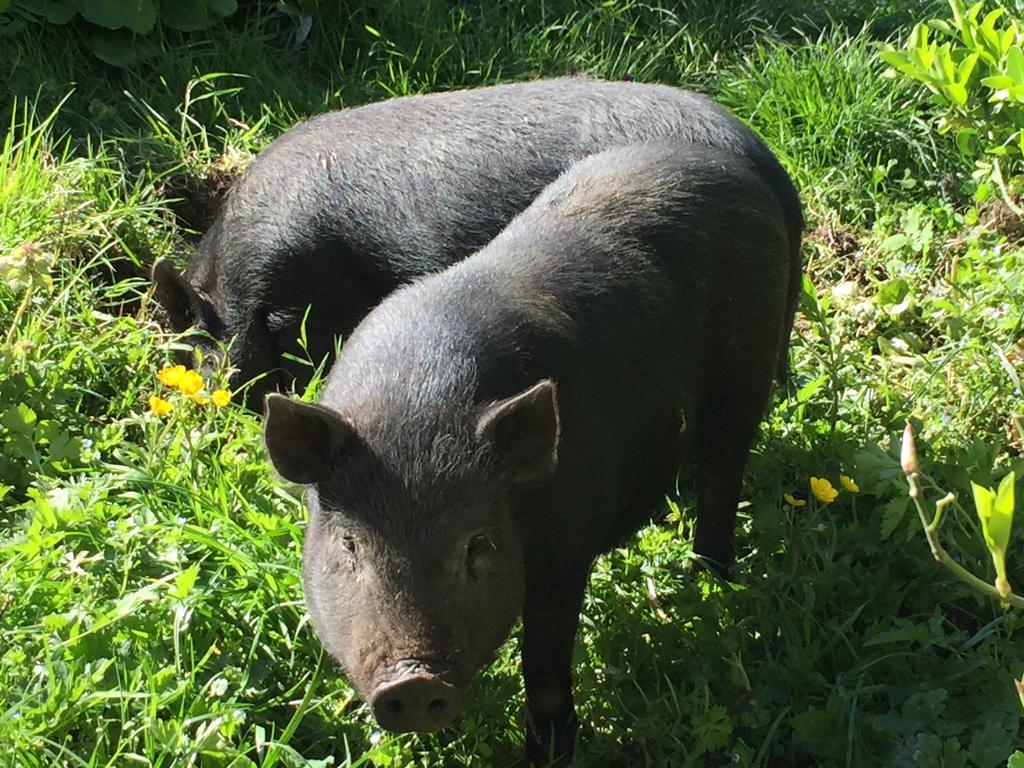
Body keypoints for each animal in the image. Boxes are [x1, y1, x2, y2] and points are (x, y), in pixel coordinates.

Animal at [262, 141, 798, 765]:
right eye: (350, 545)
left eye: (476, 543)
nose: (413, 680)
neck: (414, 401)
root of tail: (736, 170)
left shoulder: (567, 546)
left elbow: (544, 662)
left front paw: (547, 755)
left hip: (747, 364)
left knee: (722, 474)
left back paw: (708, 581)